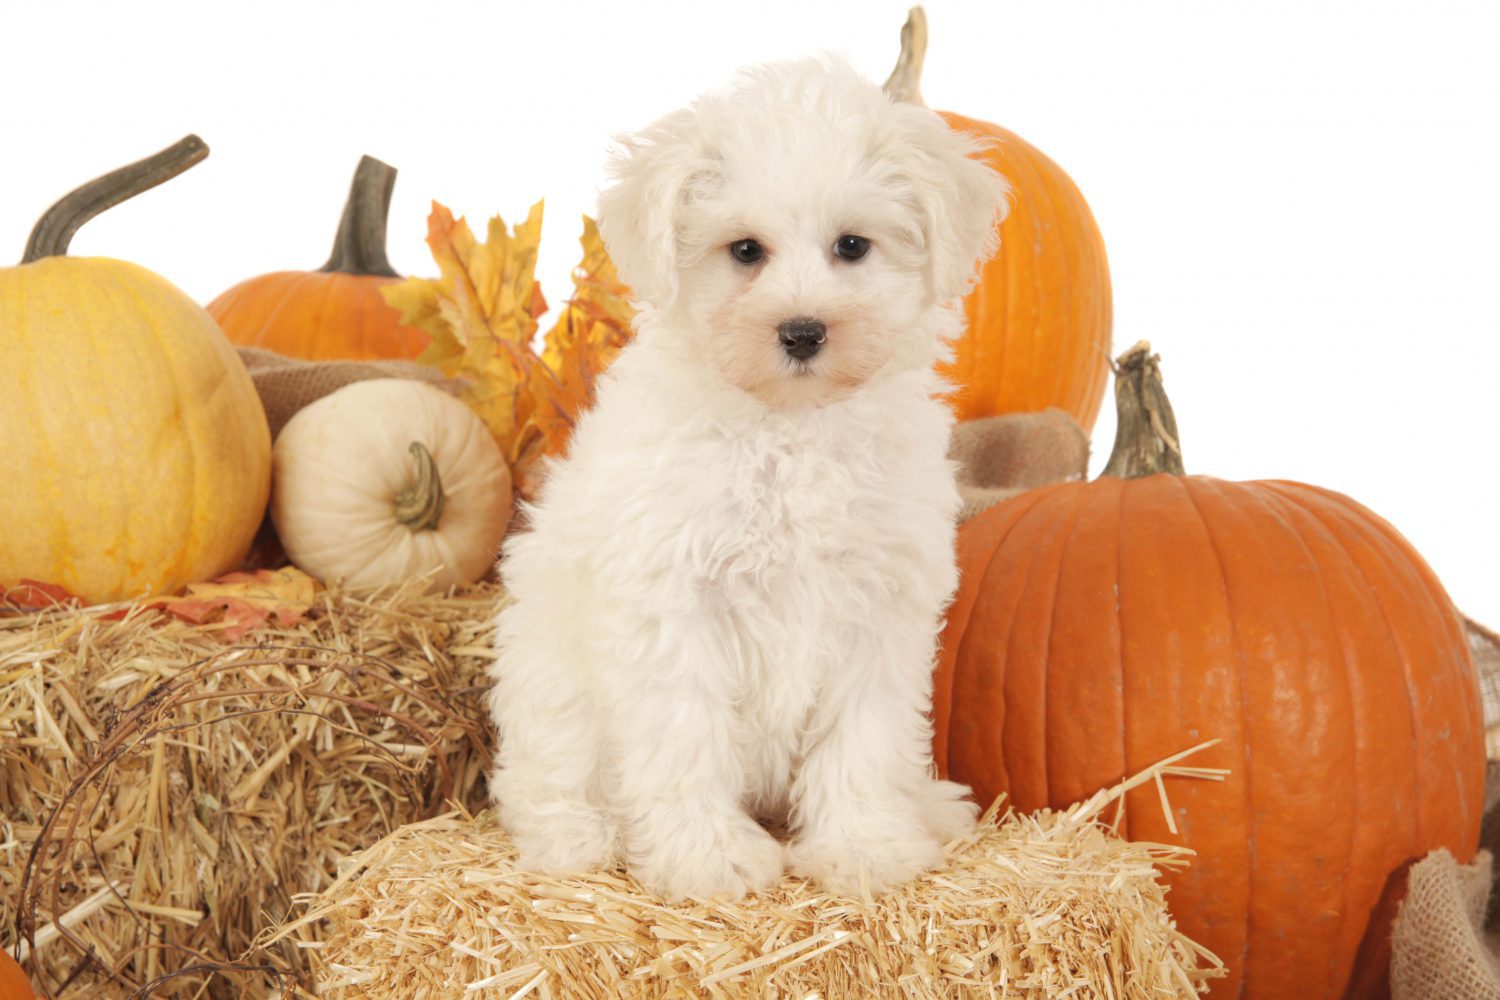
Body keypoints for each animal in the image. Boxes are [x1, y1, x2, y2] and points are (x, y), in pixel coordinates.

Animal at [492, 56, 1008, 899]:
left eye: (853, 246)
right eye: (744, 251)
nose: (802, 331)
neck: (790, 429)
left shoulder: (879, 609)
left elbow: (863, 738)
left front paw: (864, 846)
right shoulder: (672, 602)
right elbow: (686, 736)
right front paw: (709, 859)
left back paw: (927, 807)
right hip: (546, 683)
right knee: (542, 781)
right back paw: (576, 838)